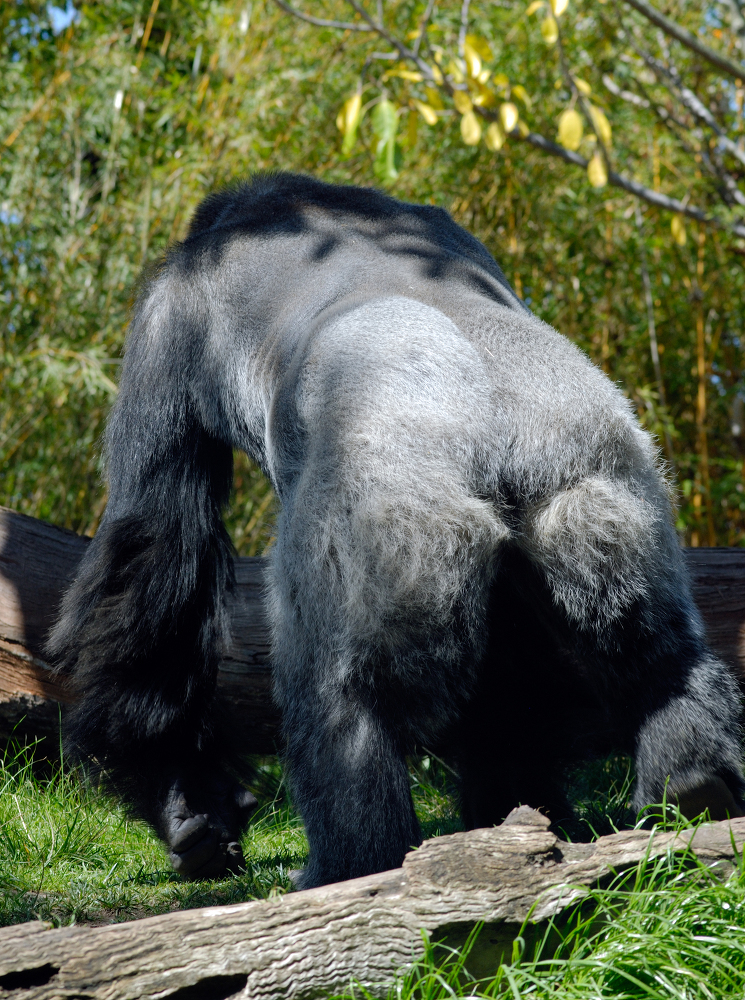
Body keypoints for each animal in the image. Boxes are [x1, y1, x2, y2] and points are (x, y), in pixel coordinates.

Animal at [48, 172, 744, 884]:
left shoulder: (169, 310)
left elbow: (157, 535)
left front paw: (178, 793)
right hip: (601, 480)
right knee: (653, 647)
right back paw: (688, 787)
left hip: (389, 507)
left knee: (342, 701)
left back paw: (351, 866)